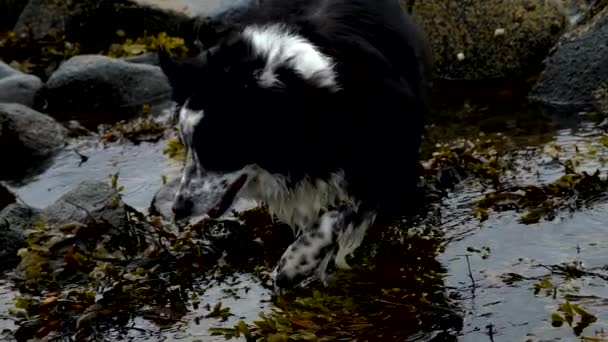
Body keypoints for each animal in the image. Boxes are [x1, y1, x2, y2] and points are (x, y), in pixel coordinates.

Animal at [159, 0, 430, 288]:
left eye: (217, 148)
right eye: (187, 144)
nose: (178, 209)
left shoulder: (388, 150)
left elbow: (342, 210)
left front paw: (295, 262)